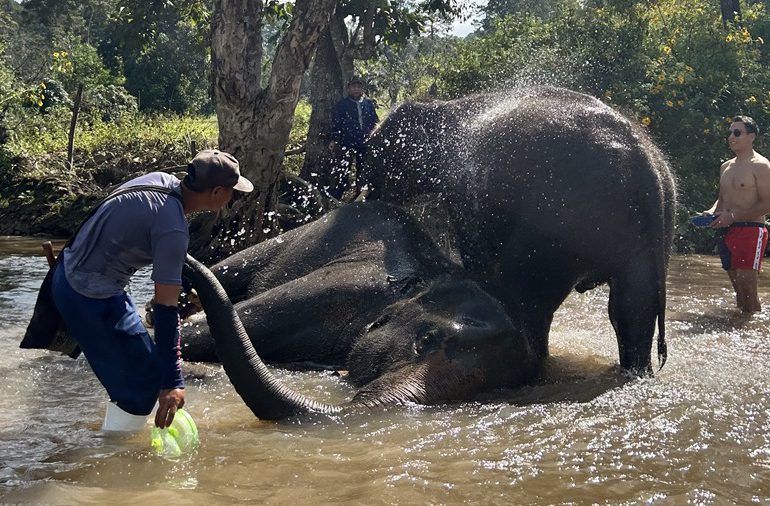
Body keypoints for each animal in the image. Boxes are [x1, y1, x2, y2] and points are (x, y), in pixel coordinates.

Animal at [358, 86, 672, 372]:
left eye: (377, 151)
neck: (443, 106)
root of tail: (645, 170)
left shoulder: (466, 187)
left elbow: (476, 252)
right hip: (641, 238)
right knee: (631, 308)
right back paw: (634, 371)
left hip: (557, 222)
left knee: (529, 300)